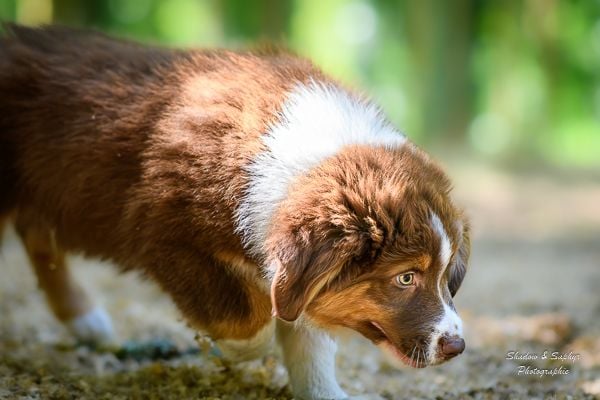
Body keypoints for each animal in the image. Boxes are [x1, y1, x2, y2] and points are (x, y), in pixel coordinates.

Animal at [0, 25, 468, 400]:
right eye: (405, 278)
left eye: (446, 275)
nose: (456, 347)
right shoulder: (171, 242)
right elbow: (251, 323)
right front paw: (222, 348)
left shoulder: (295, 278)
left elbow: (309, 340)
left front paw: (325, 392)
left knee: (36, 235)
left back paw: (87, 323)